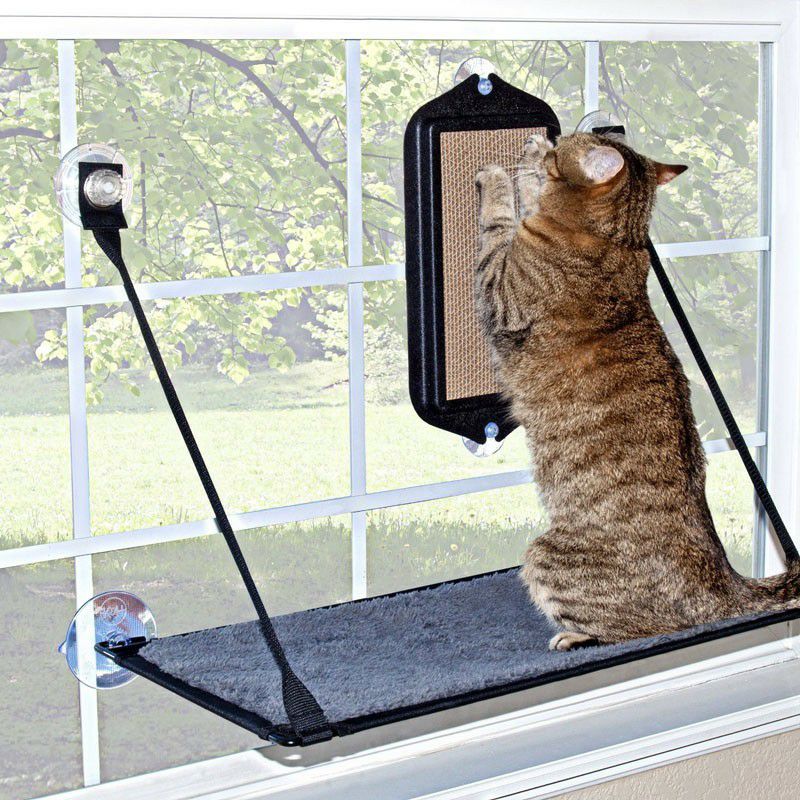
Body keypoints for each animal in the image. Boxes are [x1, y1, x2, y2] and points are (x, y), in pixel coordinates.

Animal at [474, 131, 800, 651]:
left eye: (563, 146)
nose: (549, 137)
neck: (618, 238)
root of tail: (725, 585)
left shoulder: (499, 289)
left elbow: (499, 221)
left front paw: (507, 173)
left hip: (545, 553)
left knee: (638, 629)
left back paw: (573, 638)